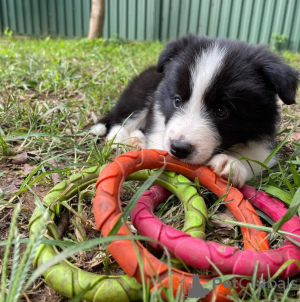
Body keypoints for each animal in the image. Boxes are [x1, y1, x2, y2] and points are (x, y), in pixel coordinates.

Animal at [90, 34, 298, 186]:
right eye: (177, 101)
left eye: (222, 111)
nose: (178, 148)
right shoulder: (159, 115)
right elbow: (158, 142)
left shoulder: (265, 138)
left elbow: (259, 157)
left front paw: (231, 163)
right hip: (142, 91)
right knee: (121, 119)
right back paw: (124, 139)